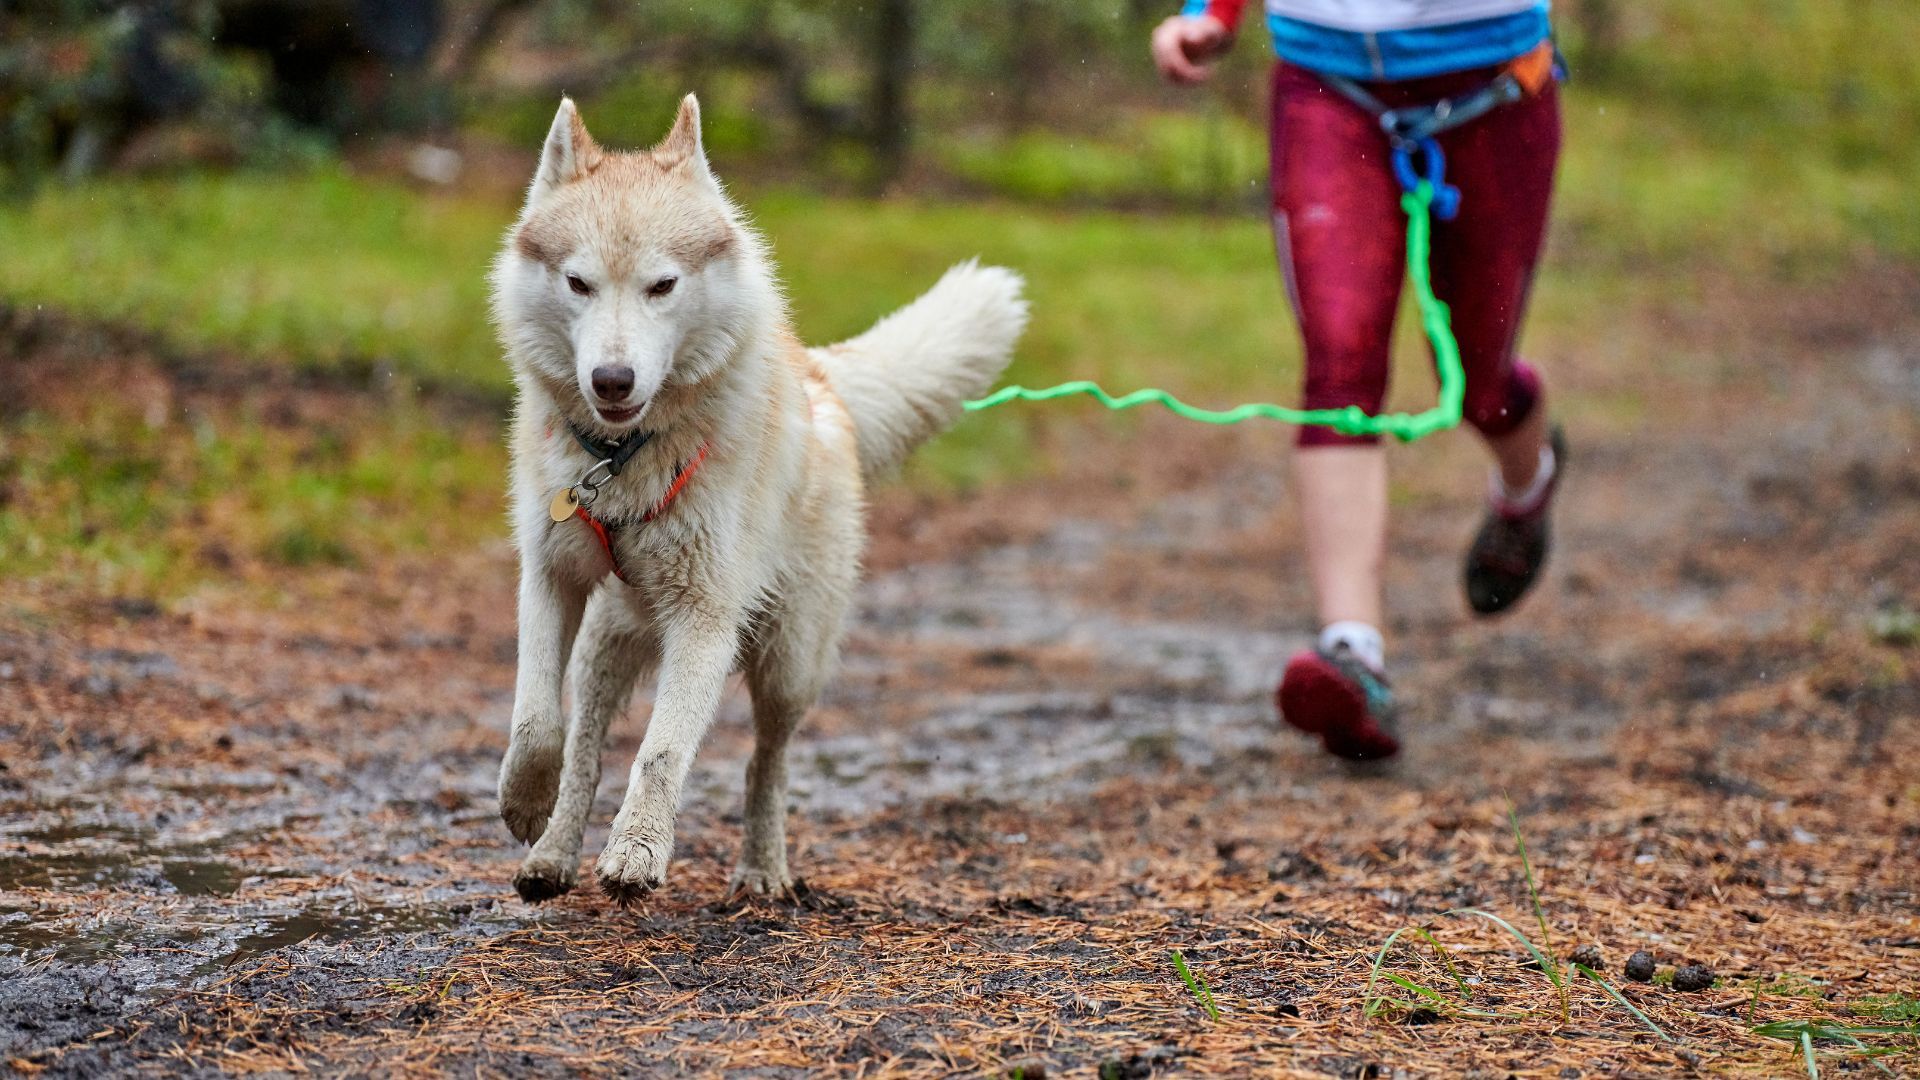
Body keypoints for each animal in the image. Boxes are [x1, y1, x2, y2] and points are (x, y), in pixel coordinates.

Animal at [487, 96, 1029, 899]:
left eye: (662, 286)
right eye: (579, 283)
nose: (611, 380)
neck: (624, 459)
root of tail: (821, 378)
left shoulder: (706, 619)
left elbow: (662, 753)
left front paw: (638, 853)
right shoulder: (550, 576)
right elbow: (535, 721)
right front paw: (526, 800)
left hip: (787, 663)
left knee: (766, 761)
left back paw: (762, 868)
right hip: (606, 648)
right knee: (586, 740)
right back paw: (553, 853)